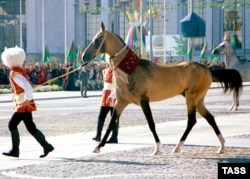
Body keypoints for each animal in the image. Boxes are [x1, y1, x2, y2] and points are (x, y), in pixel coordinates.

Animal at [83, 22, 241, 155]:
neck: (130, 70)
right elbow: (111, 123)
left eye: (97, 39)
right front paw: (98, 147)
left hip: (192, 98)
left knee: (192, 121)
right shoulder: (121, 102)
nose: (84, 56)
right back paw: (221, 146)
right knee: (210, 118)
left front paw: (157, 148)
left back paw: (178, 146)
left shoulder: (143, 100)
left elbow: (151, 123)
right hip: (198, 100)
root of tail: (208, 69)